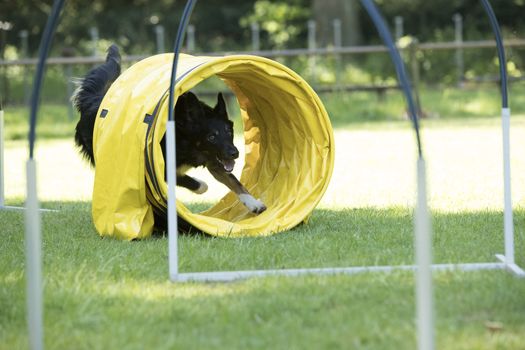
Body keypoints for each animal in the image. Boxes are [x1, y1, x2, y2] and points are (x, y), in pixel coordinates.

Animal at [72, 45, 266, 223]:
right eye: (211, 137)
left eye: (229, 131)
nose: (235, 153)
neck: (187, 138)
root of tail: (95, 100)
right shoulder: (162, 167)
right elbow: (191, 182)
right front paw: (199, 187)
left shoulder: (215, 160)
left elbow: (235, 181)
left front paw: (252, 203)